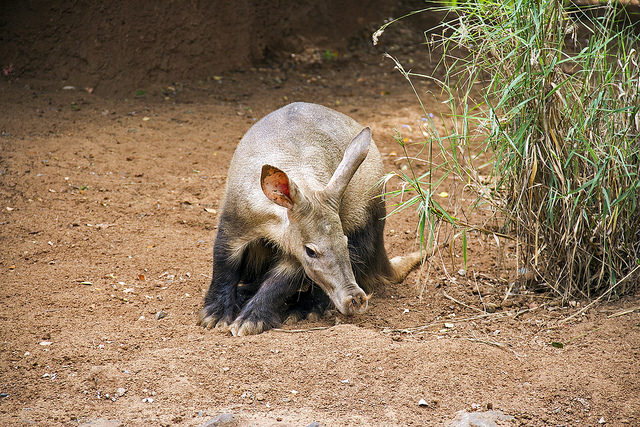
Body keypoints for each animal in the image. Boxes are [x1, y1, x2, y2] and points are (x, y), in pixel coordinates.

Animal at [198, 102, 421, 336]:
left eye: (345, 242)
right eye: (311, 251)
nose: (356, 300)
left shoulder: (299, 249)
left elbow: (282, 281)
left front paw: (250, 320)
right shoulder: (235, 220)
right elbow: (224, 264)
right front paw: (215, 315)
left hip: (363, 217)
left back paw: (304, 309)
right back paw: (244, 292)